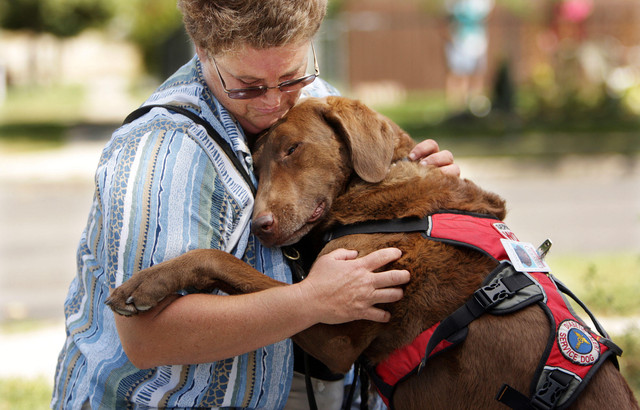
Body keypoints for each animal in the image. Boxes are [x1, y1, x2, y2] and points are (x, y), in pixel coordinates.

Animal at [107, 97, 636, 410]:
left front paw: (145, 284)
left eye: (293, 149)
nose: (260, 225)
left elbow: (223, 260)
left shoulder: (337, 337)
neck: (382, 194)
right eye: (254, 164)